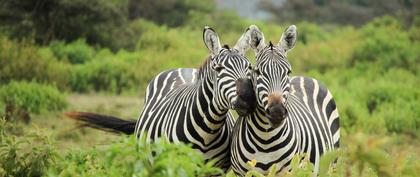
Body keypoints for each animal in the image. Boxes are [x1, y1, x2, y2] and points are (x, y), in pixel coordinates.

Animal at [66, 26, 256, 171]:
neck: (208, 131)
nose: (248, 99)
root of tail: (182, 68)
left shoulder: (215, 170)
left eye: (249, 67)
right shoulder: (175, 165)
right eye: (218, 69)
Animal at [231, 25, 340, 176]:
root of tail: (305, 77)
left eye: (288, 72)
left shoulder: (288, 171)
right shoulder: (243, 172)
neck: (265, 139)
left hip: (331, 163)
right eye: (257, 72)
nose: (277, 112)